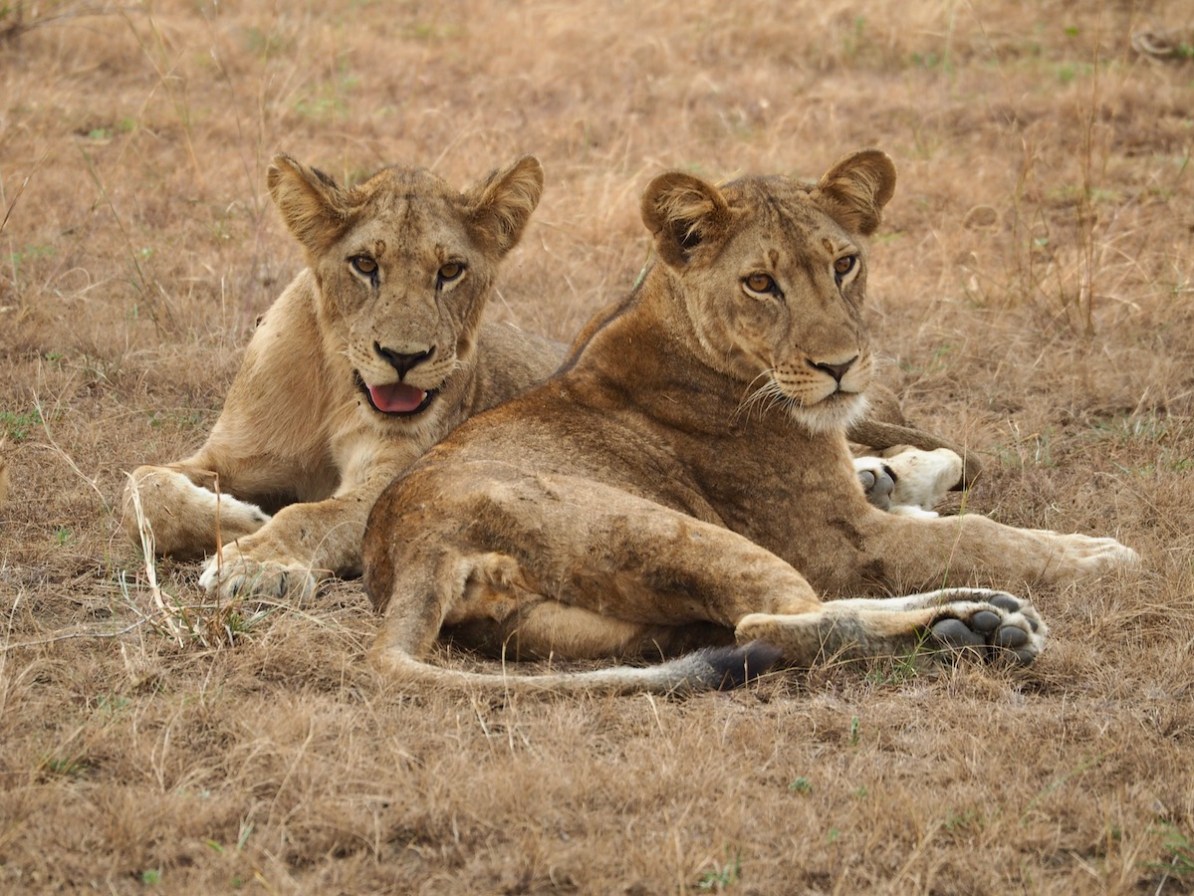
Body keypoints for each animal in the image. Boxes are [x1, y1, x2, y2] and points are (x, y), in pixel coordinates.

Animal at [123, 155, 561, 604]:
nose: (404, 357)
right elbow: (141, 485)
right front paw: (244, 519)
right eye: (365, 264)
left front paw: (255, 561)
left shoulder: (397, 482)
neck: (337, 389)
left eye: (451, 270)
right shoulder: (227, 456)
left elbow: (309, 515)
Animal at [355, 149, 1136, 692]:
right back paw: (980, 622)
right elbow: (980, 535)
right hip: (667, 528)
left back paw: (972, 623)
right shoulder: (843, 543)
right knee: (773, 619)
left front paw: (902, 476)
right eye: (761, 283)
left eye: (844, 264)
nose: (841, 366)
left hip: (628, 625)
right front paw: (1096, 556)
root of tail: (408, 546)